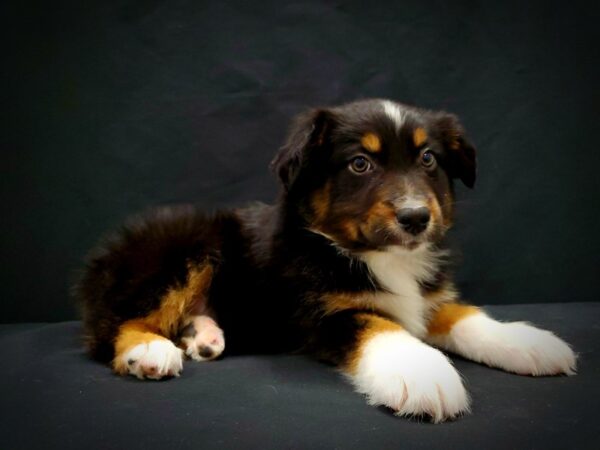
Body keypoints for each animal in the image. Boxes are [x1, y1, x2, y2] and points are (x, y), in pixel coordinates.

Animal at [76, 98, 576, 422]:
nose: (416, 217)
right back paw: (149, 350)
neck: (374, 255)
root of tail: (102, 255)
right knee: (113, 326)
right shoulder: (320, 313)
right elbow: (377, 324)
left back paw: (205, 337)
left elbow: (460, 314)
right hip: (183, 249)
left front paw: (526, 342)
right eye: (360, 164)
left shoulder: (425, 297)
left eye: (428, 159)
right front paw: (422, 371)